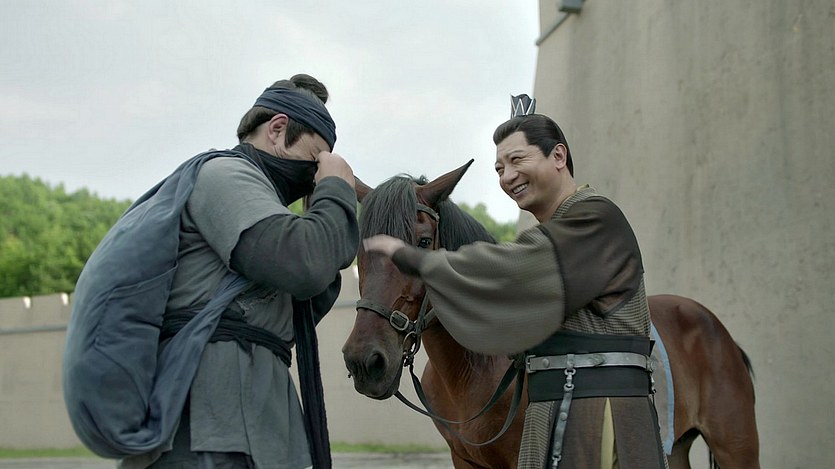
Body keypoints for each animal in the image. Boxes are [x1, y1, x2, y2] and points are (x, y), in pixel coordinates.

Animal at [341, 161, 759, 469]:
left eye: (424, 242)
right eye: (360, 250)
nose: (366, 361)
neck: (475, 370)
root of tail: (718, 331)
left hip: (736, 447)